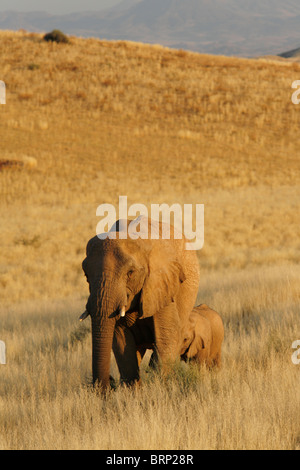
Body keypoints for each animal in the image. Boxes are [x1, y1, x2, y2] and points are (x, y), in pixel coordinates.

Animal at [81, 217, 200, 392]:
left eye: (130, 273)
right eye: (86, 275)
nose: (107, 385)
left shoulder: (162, 283)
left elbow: (165, 337)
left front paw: (162, 388)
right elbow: (121, 342)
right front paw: (134, 393)